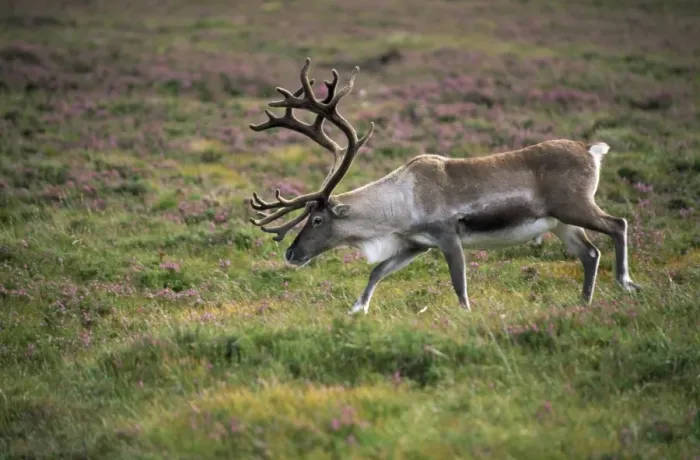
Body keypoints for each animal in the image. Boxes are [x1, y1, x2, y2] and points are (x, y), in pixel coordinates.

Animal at [248, 58, 640, 315]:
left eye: (317, 220)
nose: (290, 253)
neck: (400, 204)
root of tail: (592, 150)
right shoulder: (416, 244)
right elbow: (377, 270)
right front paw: (357, 309)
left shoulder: (448, 235)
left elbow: (459, 284)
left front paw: (466, 315)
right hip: (561, 223)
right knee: (590, 253)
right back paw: (585, 302)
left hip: (575, 205)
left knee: (617, 224)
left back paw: (625, 282)